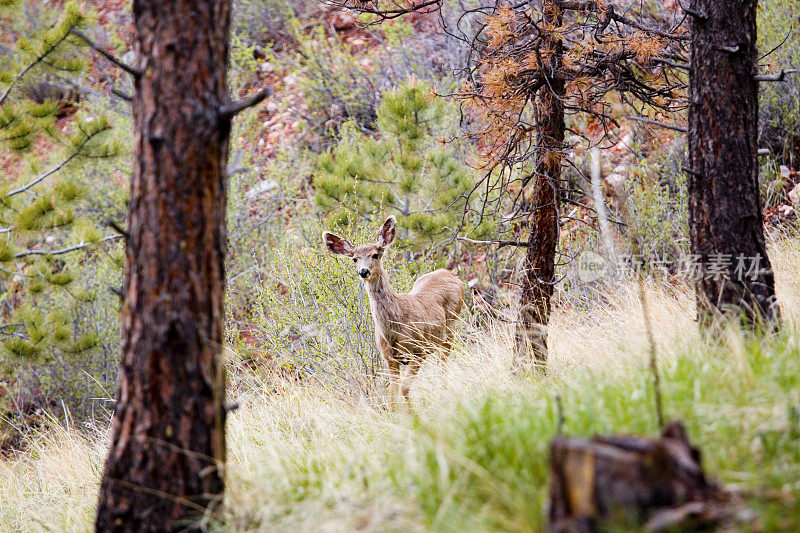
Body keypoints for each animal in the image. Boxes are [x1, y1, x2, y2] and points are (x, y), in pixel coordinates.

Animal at [322, 215, 466, 400]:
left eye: (375, 255)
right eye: (354, 259)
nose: (363, 271)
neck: (394, 326)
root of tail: (452, 274)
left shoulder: (418, 350)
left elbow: (404, 389)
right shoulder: (389, 359)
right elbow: (392, 396)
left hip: (450, 328)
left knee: (443, 367)